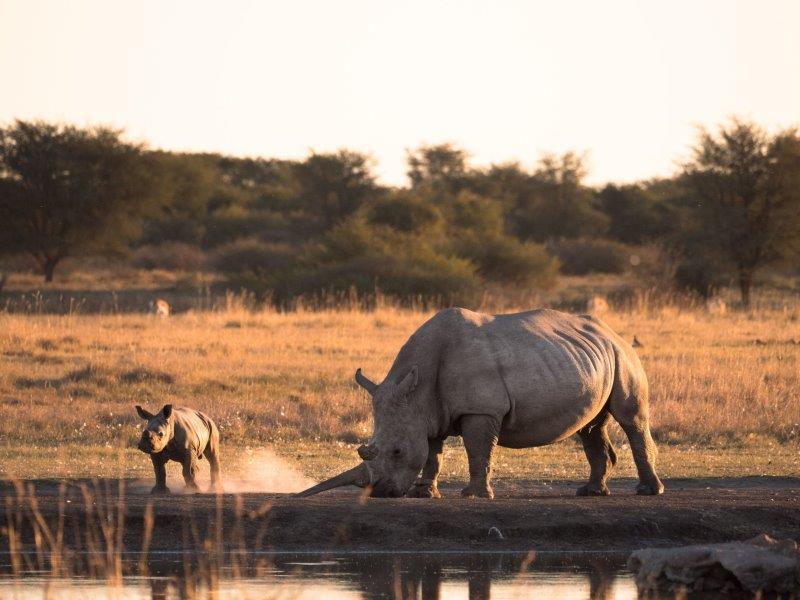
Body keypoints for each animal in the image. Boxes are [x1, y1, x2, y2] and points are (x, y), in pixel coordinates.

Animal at [296, 308, 664, 500]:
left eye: (397, 452)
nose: (380, 492)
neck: (418, 386)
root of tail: (610, 330)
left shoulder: (481, 409)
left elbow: (477, 450)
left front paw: (473, 495)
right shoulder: (427, 412)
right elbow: (432, 452)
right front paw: (424, 494)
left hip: (623, 355)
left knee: (631, 418)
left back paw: (648, 491)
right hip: (587, 358)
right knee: (589, 427)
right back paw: (590, 492)